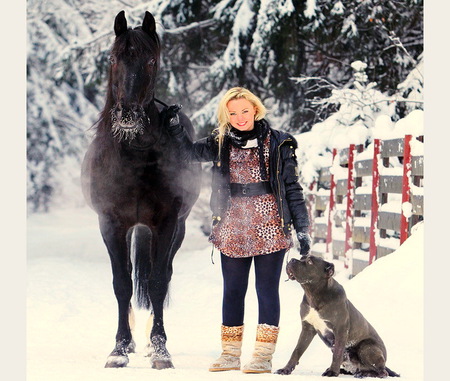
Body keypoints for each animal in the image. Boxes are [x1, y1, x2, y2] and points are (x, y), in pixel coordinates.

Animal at [81, 10, 200, 368]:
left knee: (159, 276)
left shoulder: (166, 223)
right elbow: (122, 284)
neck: (134, 155)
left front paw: (160, 350)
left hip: (175, 229)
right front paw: (119, 349)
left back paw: (148, 342)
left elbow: (157, 282)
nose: (128, 114)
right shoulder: (111, 224)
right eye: (112, 58)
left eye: (150, 59)